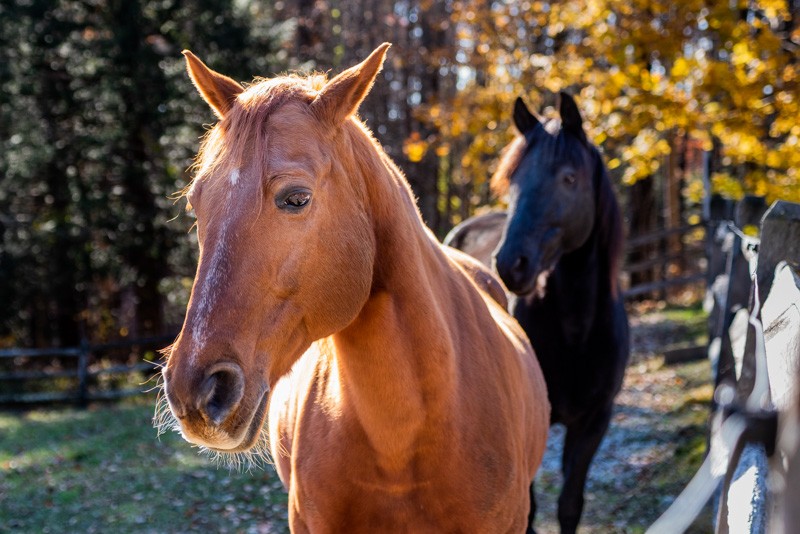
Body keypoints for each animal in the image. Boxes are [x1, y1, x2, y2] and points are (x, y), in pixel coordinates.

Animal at [445, 93, 630, 534]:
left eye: (569, 178)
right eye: (512, 180)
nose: (511, 264)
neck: (578, 331)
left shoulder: (594, 421)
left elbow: (570, 504)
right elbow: (527, 511)